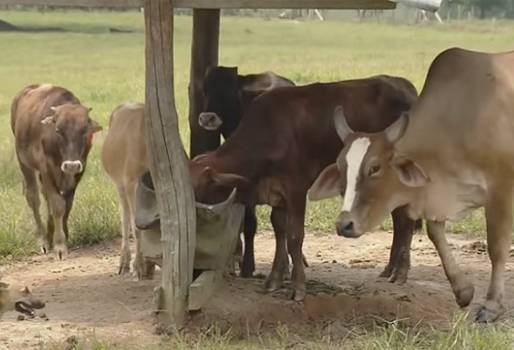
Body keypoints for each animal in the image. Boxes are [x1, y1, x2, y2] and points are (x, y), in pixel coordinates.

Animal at [11, 84, 101, 260]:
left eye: (84, 130)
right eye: (58, 130)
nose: (71, 165)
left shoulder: (80, 168)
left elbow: (67, 204)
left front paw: (63, 234)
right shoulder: (46, 168)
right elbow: (58, 205)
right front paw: (59, 245)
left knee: (46, 196)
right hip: (24, 163)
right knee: (34, 198)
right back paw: (43, 241)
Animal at [188, 75, 416, 300]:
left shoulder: (295, 189)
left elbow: (294, 236)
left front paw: (297, 286)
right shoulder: (277, 194)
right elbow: (279, 230)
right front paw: (275, 279)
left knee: (406, 220)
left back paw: (400, 272)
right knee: (399, 219)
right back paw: (390, 268)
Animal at [308, 47, 512, 322]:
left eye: (374, 168)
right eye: (341, 167)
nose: (344, 225)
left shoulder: (501, 190)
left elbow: (497, 248)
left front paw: (491, 305)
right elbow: (435, 234)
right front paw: (463, 291)